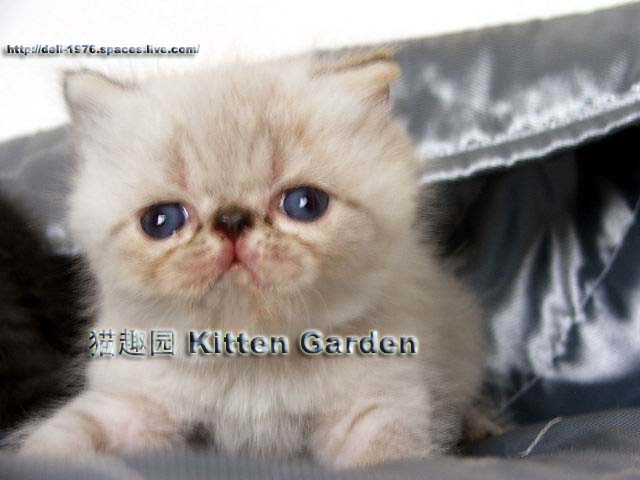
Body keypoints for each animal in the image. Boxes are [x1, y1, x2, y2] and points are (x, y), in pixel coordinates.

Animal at [15, 50, 487, 468]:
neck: (250, 361)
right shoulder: (131, 402)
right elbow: (60, 438)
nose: (232, 220)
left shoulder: (377, 401)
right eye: (162, 220)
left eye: (304, 203)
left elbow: (388, 457)